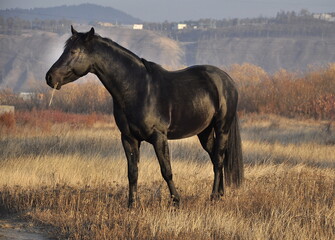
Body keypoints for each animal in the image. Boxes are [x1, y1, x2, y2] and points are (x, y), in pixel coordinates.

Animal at [45, 25, 244, 206]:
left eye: (73, 51)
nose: (50, 77)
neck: (138, 89)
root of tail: (227, 80)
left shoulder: (159, 137)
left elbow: (166, 170)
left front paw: (176, 201)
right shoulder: (129, 138)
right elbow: (132, 173)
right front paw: (131, 205)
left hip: (222, 128)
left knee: (218, 160)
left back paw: (213, 197)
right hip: (205, 131)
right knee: (215, 157)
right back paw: (220, 194)